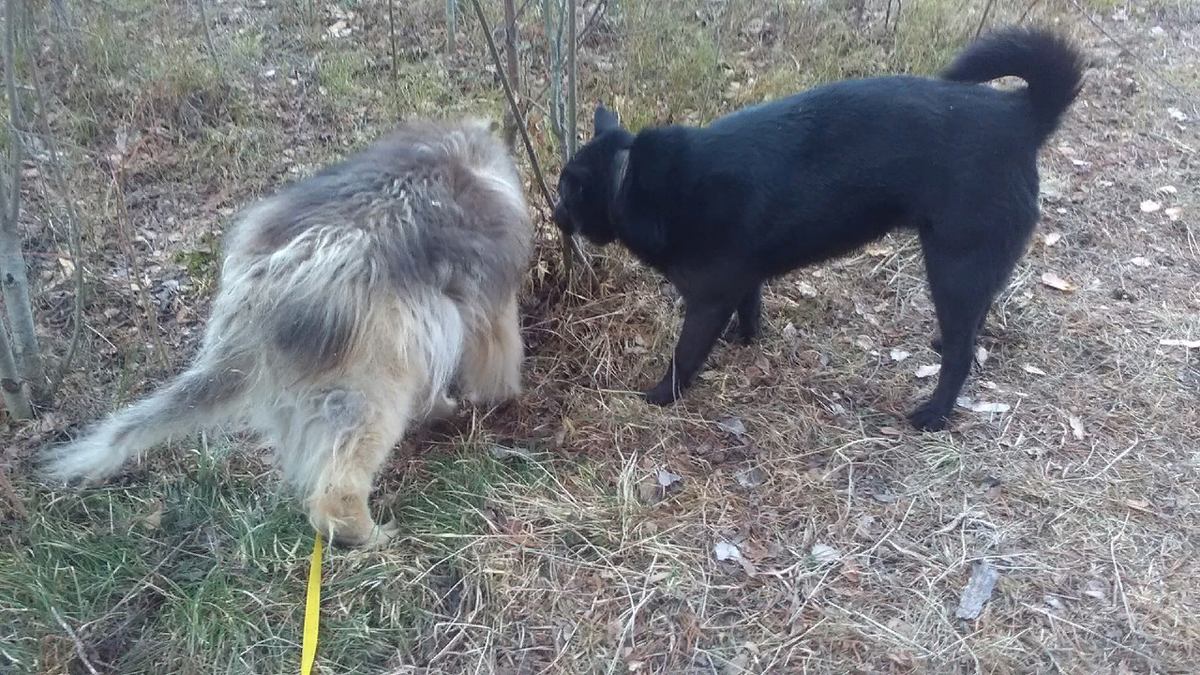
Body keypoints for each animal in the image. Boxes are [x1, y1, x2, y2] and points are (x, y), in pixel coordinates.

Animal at [44, 117, 530, 547]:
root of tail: (258, 296)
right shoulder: (486, 301)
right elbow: (498, 342)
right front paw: (499, 394)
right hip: (372, 375)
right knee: (339, 482)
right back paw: (366, 534)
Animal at [552, 26, 1089, 427]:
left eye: (564, 192)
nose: (555, 217)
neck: (629, 177)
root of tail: (1022, 116)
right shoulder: (742, 280)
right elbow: (750, 310)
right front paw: (744, 341)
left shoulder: (706, 300)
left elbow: (684, 356)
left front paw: (662, 395)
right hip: (972, 264)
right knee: (975, 318)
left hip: (953, 263)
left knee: (960, 351)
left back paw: (934, 413)